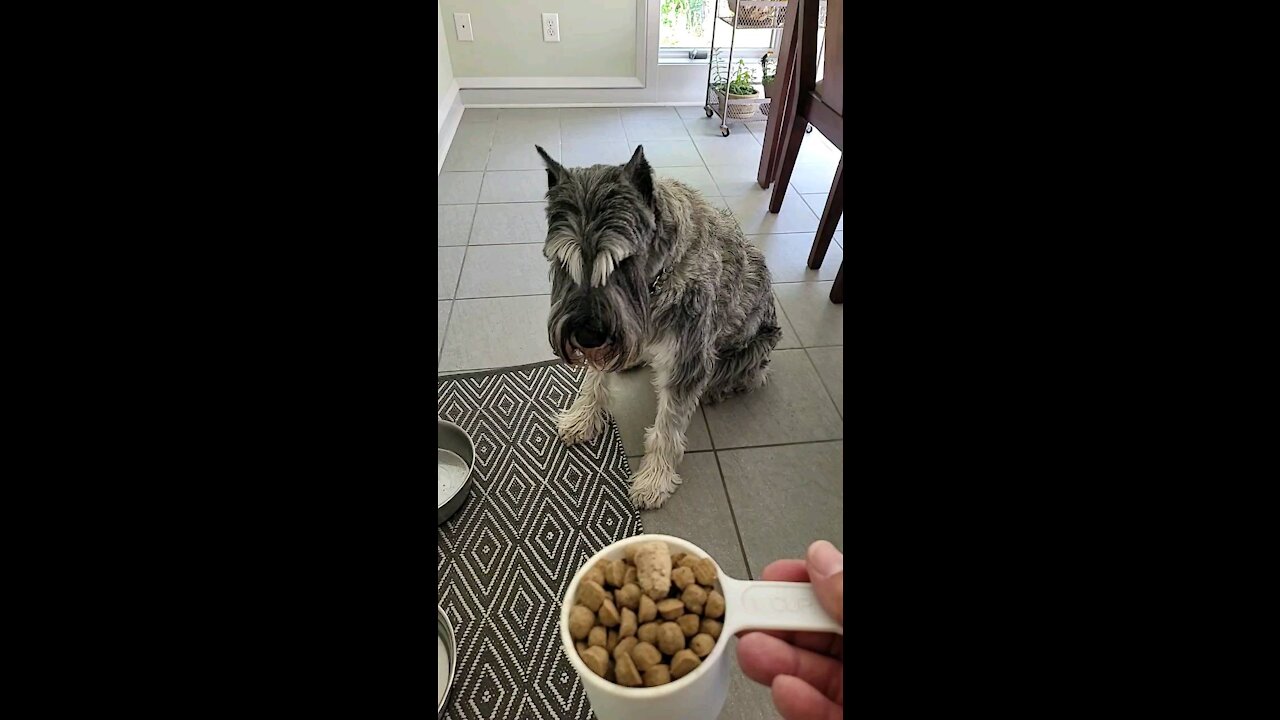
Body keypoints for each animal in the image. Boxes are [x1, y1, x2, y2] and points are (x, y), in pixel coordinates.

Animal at [532, 142, 778, 507]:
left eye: (623, 262)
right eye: (562, 261)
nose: (587, 336)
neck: (655, 283)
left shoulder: (685, 361)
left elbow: (667, 428)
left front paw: (654, 479)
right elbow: (593, 378)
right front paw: (582, 416)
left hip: (750, 352)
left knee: (744, 375)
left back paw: (716, 388)